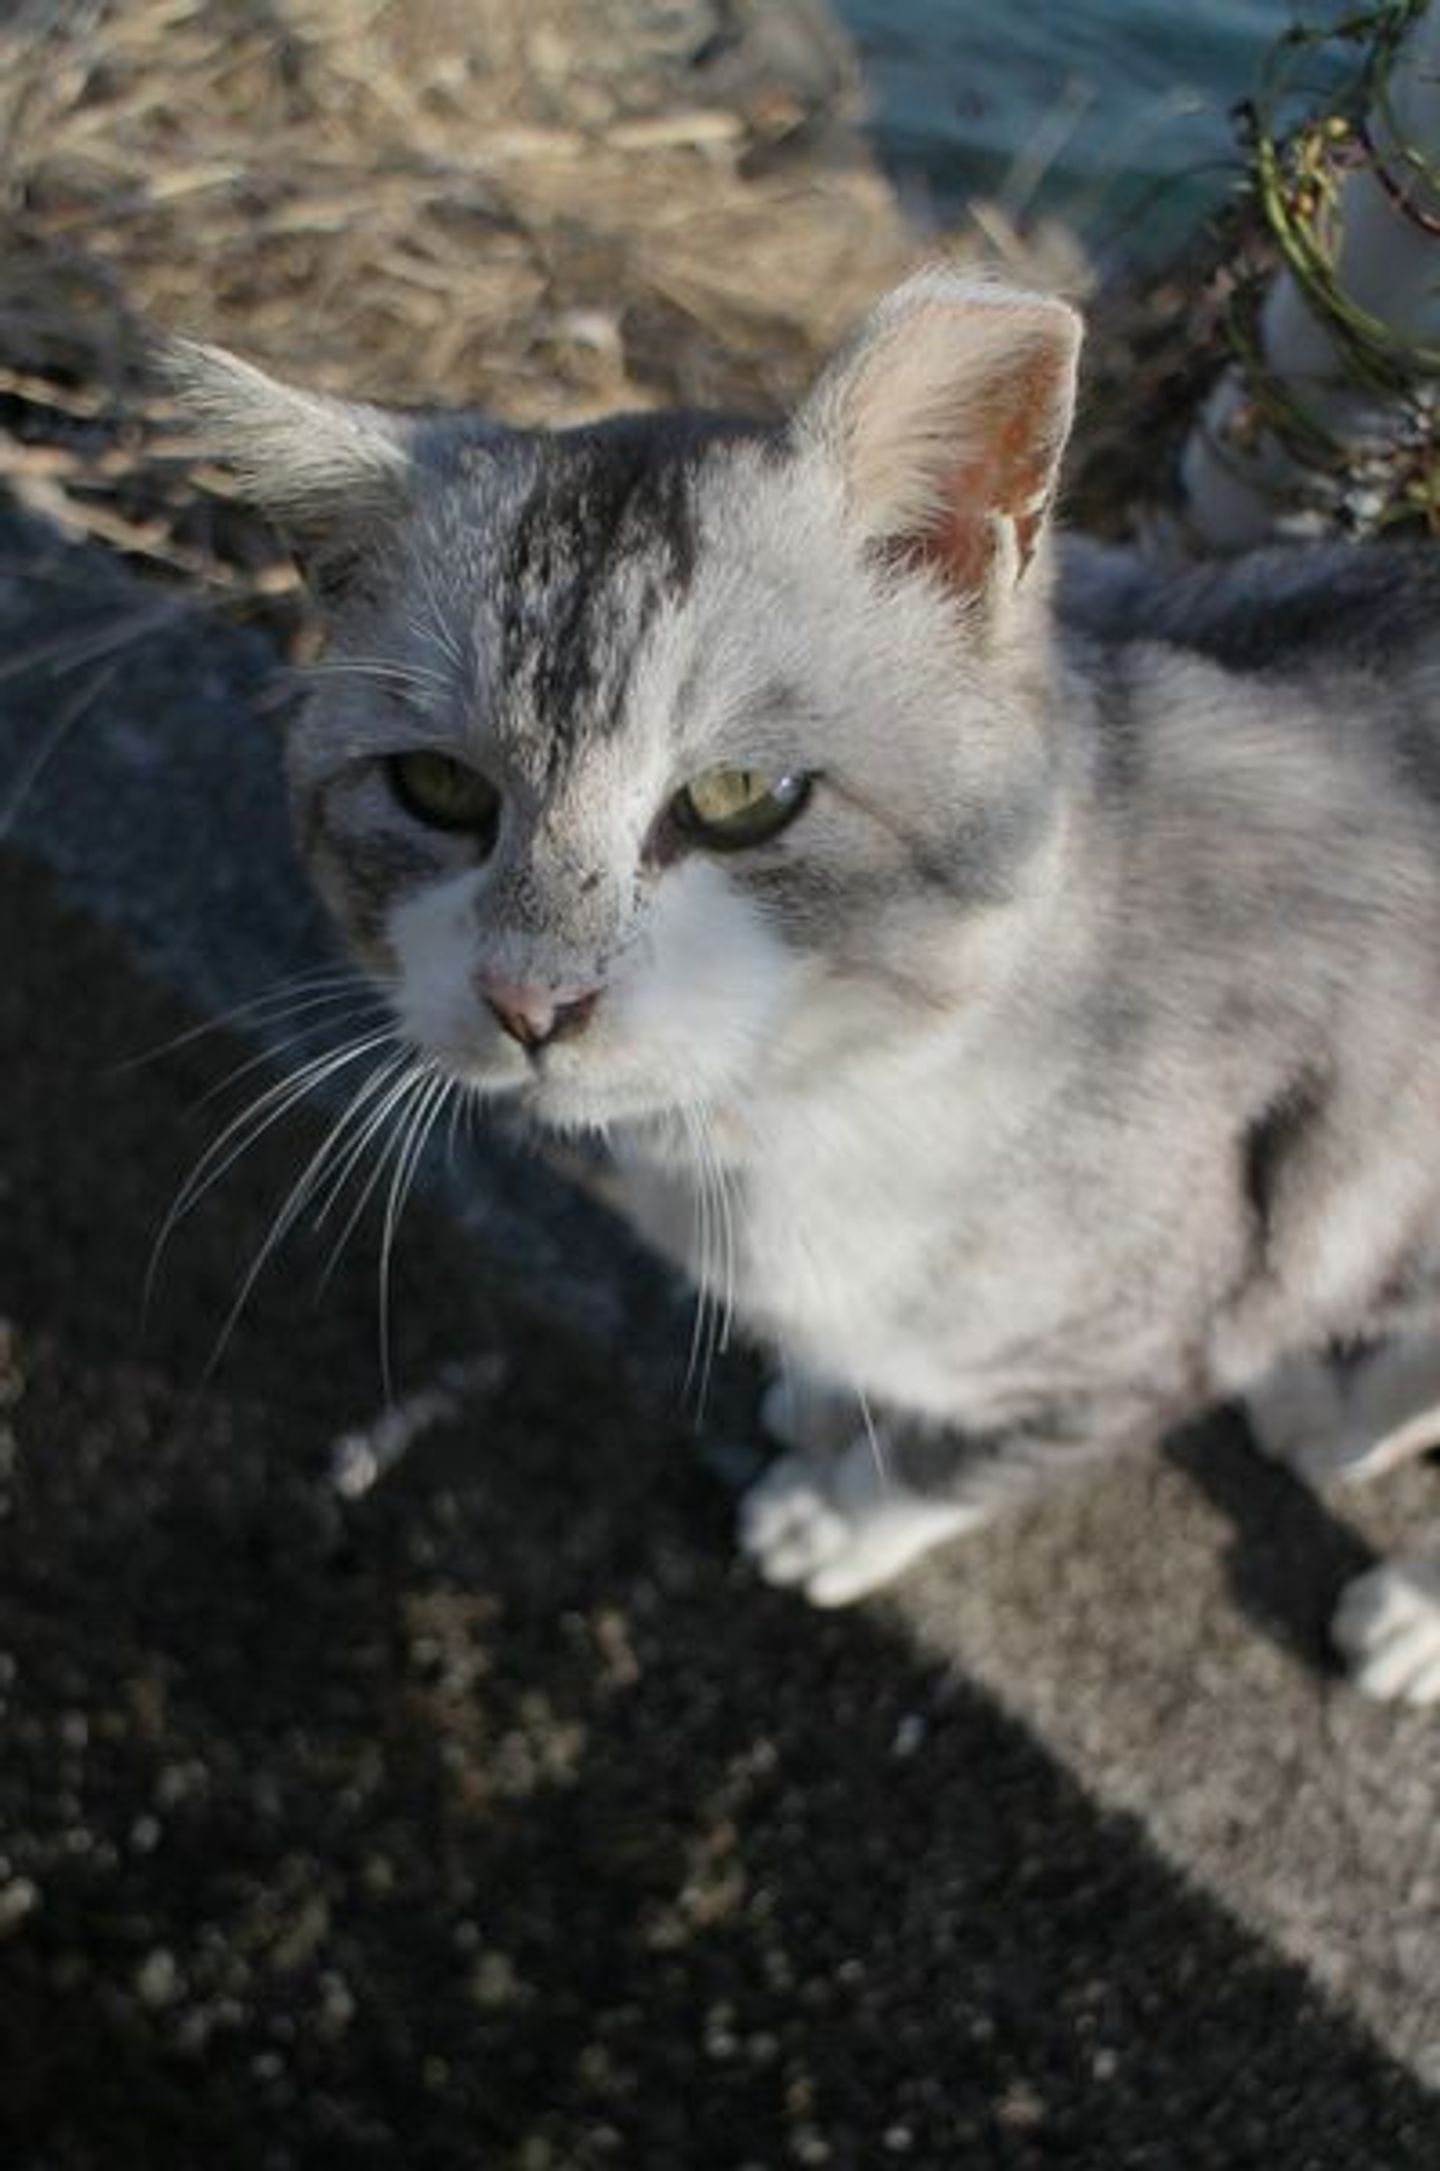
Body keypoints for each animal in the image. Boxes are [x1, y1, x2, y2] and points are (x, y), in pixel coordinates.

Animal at [171, 267, 1440, 1693]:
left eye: (742, 795)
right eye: (438, 785)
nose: (533, 998)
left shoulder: (1170, 1323)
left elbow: (968, 1454)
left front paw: (844, 1514)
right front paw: (828, 1405)